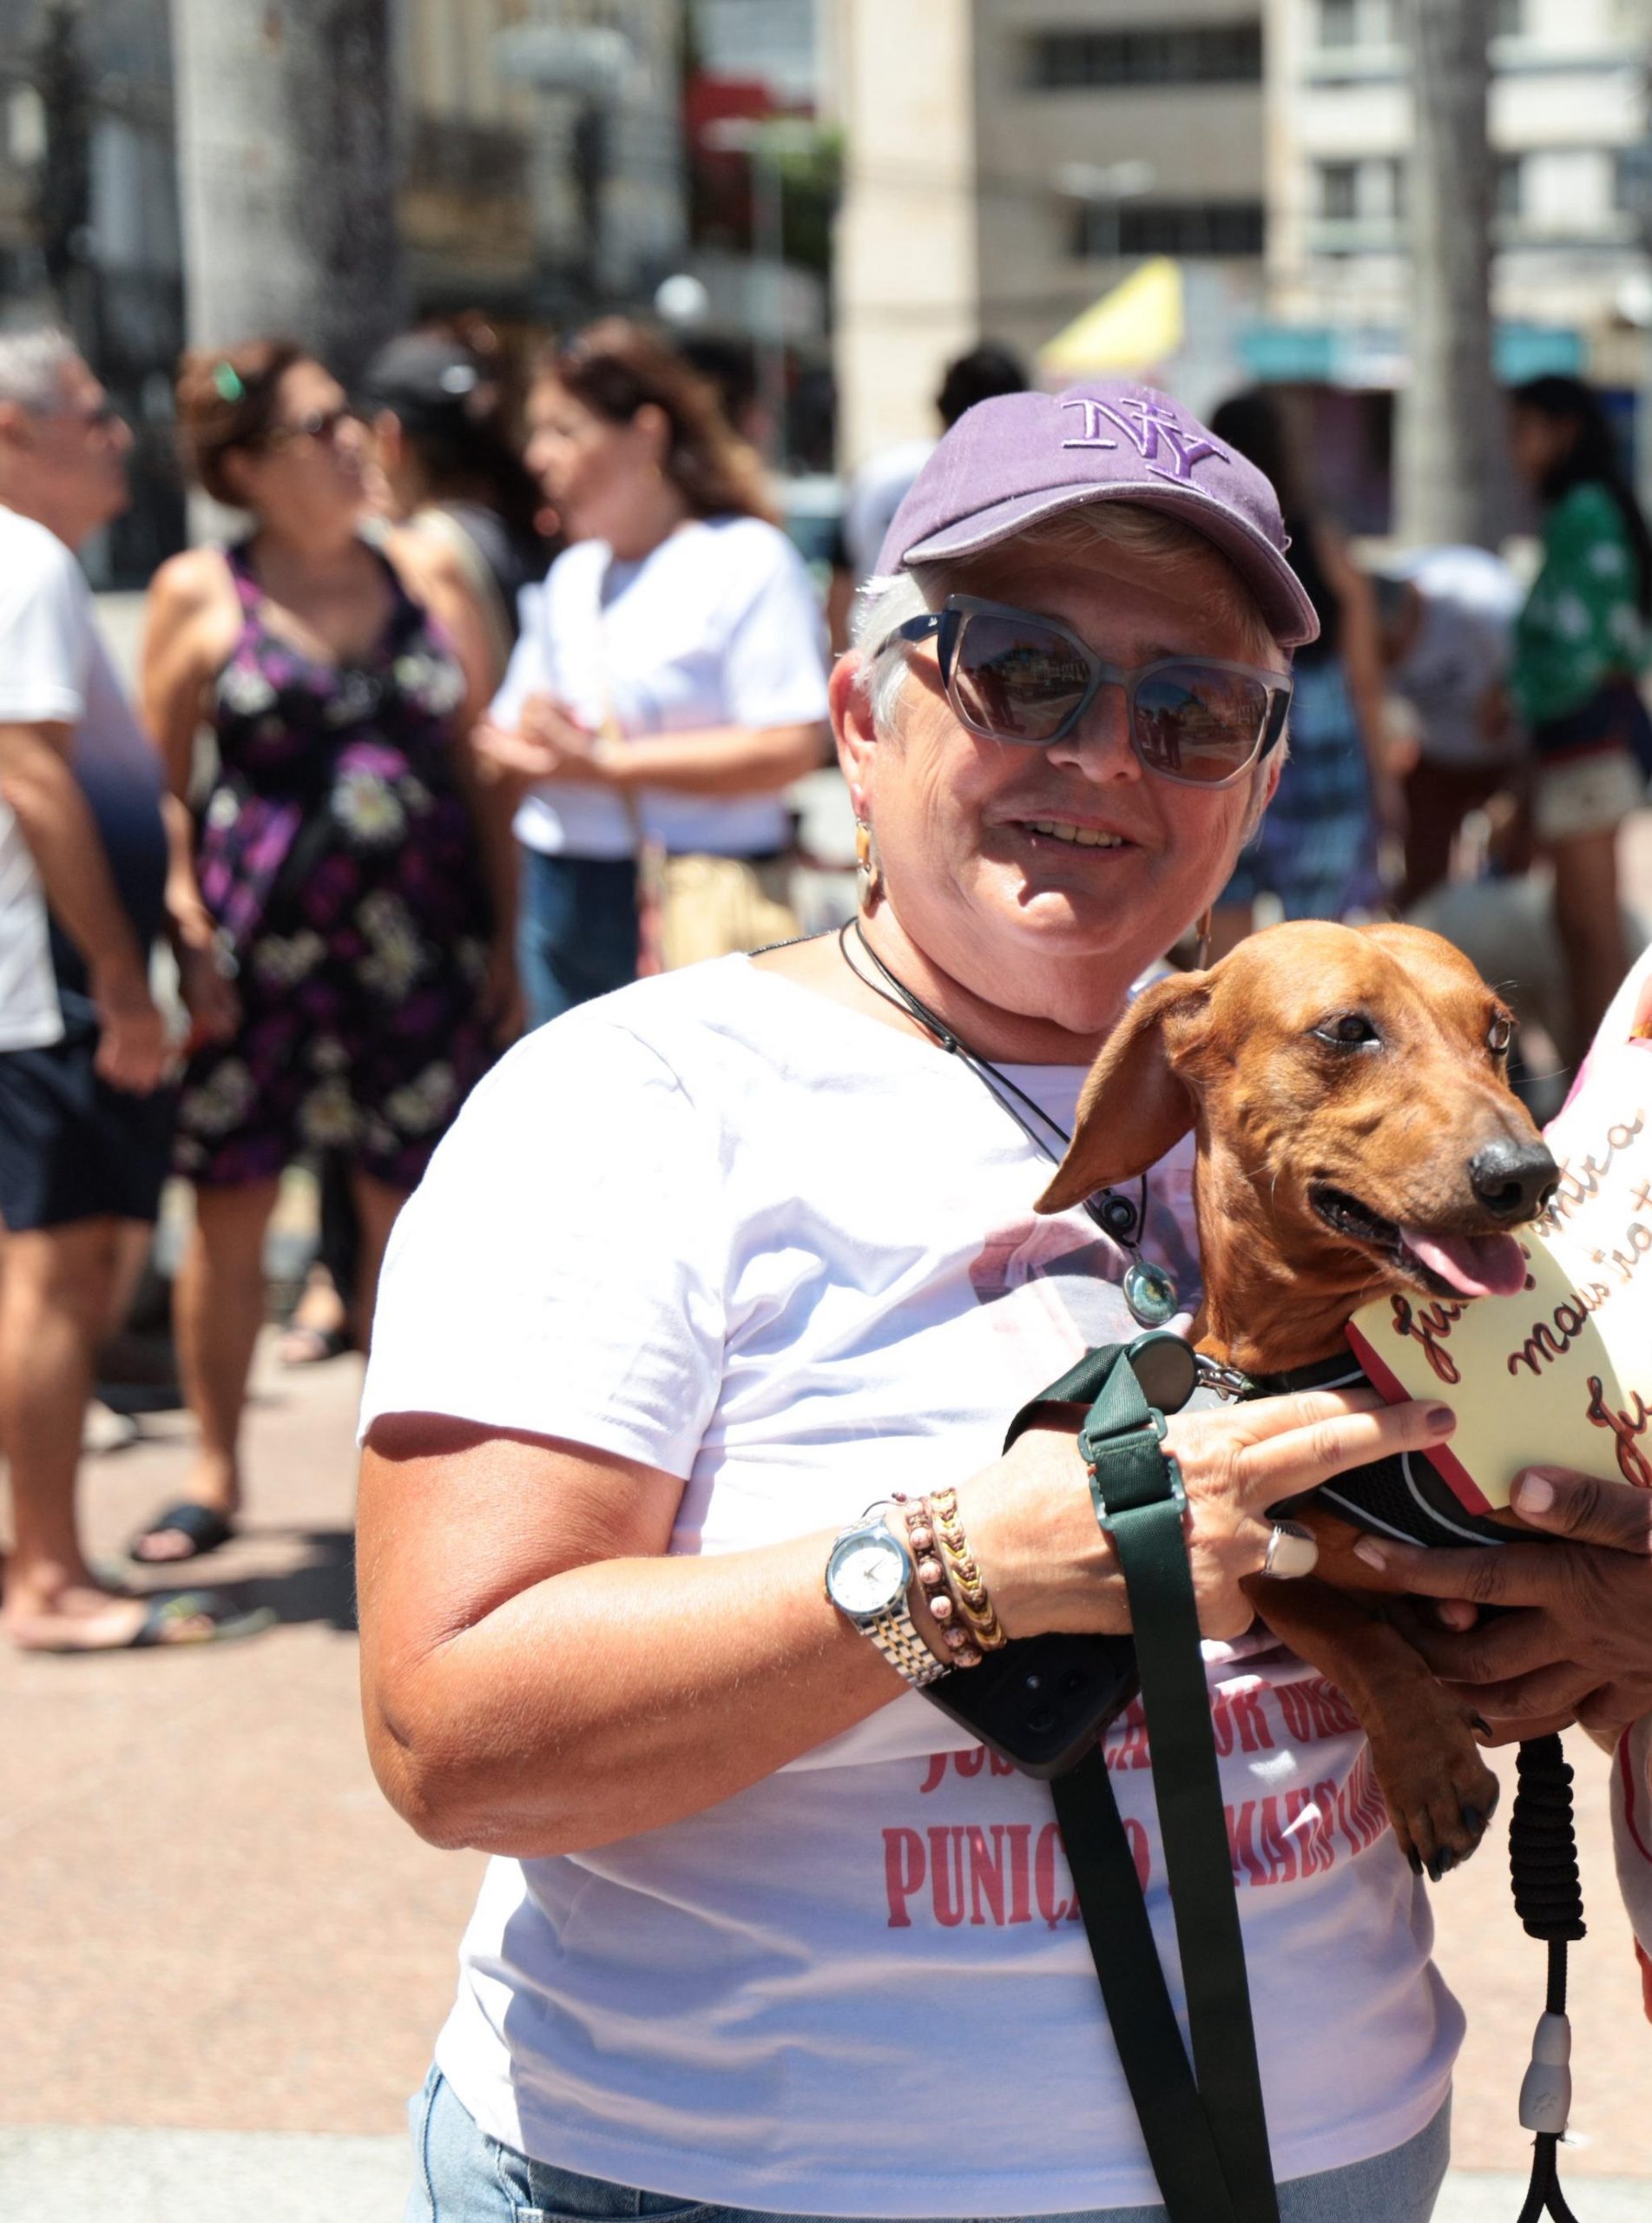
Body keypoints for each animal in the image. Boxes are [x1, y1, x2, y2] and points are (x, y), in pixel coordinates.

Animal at [1036, 919, 1560, 1878]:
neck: (1314, 1346)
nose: (1530, 1176)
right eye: (1348, 1029)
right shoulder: (1242, 1556)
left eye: (1499, 1034)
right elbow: (1347, 1633)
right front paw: (1428, 1767)